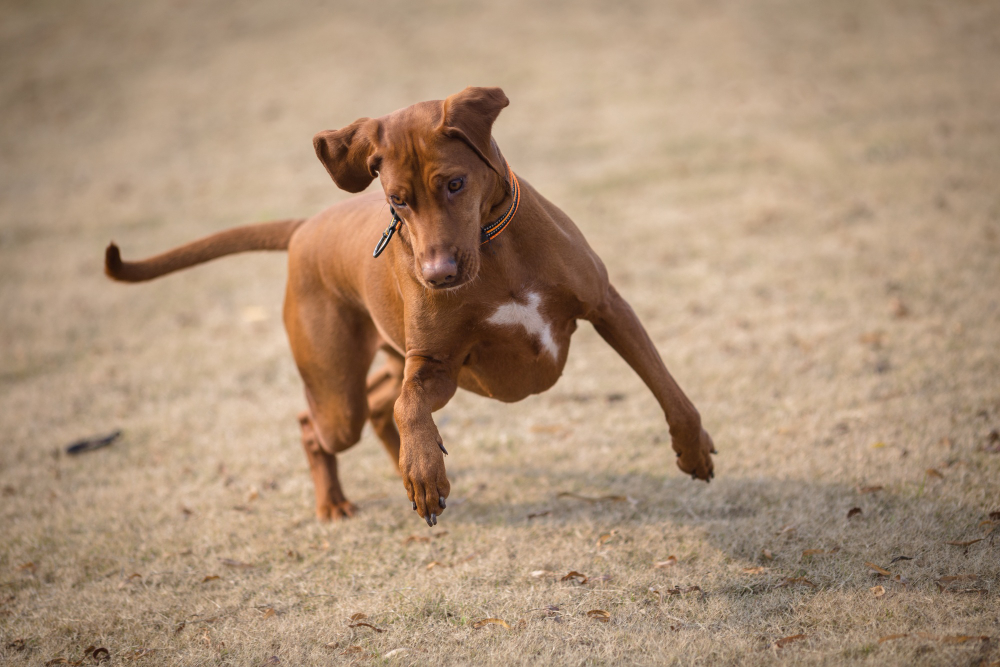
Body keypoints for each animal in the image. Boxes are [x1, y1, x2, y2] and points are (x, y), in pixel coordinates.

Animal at [105, 86, 716, 528]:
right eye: (397, 200)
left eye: (455, 183)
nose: (437, 275)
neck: (494, 251)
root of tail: (305, 227)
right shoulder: (436, 365)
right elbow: (409, 407)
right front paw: (424, 470)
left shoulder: (608, 308)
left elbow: (669, 389)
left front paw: (693, 450)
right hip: (338, 395)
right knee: (321, 422)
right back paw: (336, 502)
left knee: (378, 403)